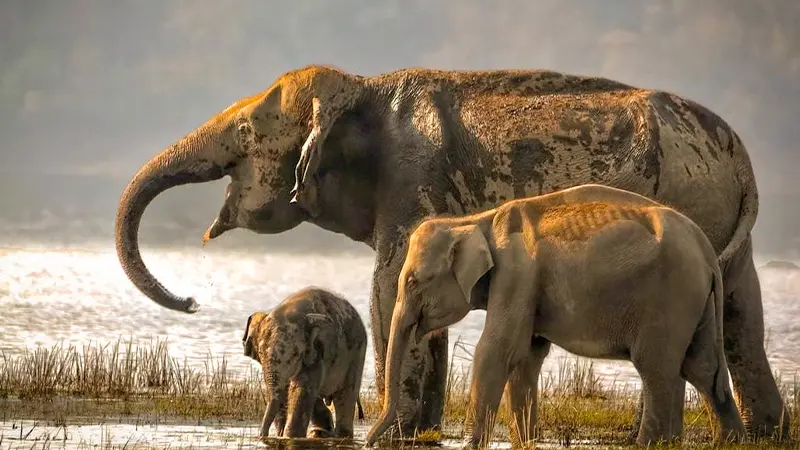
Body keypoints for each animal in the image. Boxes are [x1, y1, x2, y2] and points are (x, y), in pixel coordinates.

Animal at [242, 287, 367, 438]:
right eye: (261, 354)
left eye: (296, 354)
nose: (262, 436)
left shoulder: (316, 352)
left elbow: (301, 389)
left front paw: (290, 436)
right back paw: (320, 432)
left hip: (357, 353)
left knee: (345, 395)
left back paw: (341, 435)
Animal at [366, 184, 747, 448]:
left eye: (413, 281)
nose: (369, 441)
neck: (476, 220)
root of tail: (706, 251)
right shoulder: (527, 285)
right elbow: (527, 358)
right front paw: (526, 442)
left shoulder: (516, 274)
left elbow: (497, 351)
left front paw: (472, 444)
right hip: (695, 303)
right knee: (703, 369)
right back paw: (733, 442)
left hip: (670, 297)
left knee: (657, 368)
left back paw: (649, 444)